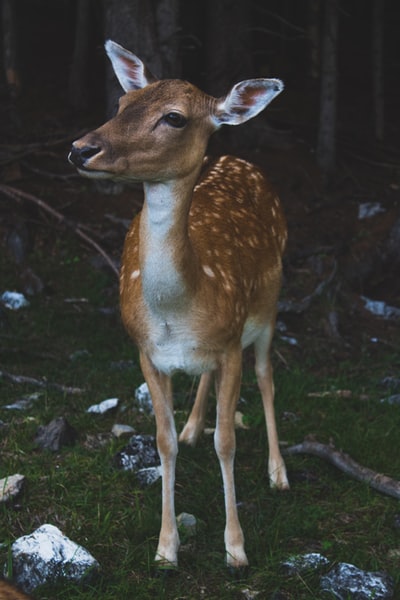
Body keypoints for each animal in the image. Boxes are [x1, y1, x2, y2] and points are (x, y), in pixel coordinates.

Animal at [68, 39, 288, 568]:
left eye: (174, 117)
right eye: (123, 103)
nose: (81, 148)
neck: (179, 310)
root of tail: (243, 162)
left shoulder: (231, 342)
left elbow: (227, 441)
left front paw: (236, 548)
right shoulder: (146, 351)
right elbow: (163, 442)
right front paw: (166, 547)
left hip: (269, 306)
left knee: (266, 376)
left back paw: (279, 473)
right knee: (208, 382)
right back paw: (193, 427)